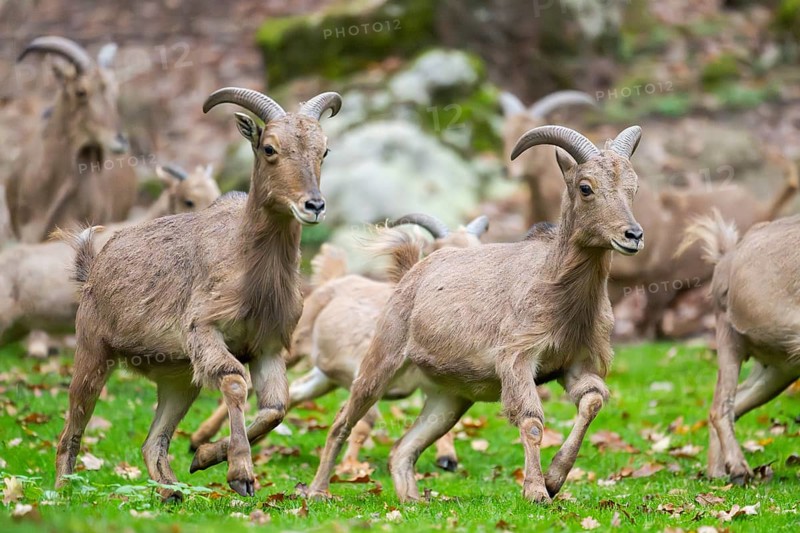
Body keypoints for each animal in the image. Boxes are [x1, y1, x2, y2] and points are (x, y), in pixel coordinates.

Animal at [54, 88, 342, 501]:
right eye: (269, 147)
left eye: (324, 150)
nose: (314, 205)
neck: (251, 271)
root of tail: (93, 265)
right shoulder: (205, 329)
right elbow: (235, 381)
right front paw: (240, 474)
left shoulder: (268, 346)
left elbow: (275, 408)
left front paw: (204, 456)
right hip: (93, 350)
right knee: (71, 429)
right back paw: (62, 492)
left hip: (177, 379)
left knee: (153, 441)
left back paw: (172, 491)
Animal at [189, 214, 490, 475]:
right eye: (441, 252)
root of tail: (331, 283)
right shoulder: (364, 371)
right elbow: (366, 420)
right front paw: (350, 466)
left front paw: (447, 458)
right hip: (291, 348)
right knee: (253, 383)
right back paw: (199, 438)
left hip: (325, 376)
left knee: (295, 392)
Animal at [307, 124, 644, 503]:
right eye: (586, 187)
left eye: (632, 187)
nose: (633, 235)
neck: (558, 293)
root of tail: (412, 271)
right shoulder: (517, 358)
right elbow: (532, 421)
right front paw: (536, 491)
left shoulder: (575, 363)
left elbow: (592, 402)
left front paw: (555, 479)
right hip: (382, 360)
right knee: (342, 421)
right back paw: (318, 491)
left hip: (449, 398)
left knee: (403, 447)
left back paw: (412, 501)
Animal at [681, 211, 800, 485]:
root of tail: (726, 256)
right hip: (729, 337)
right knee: (720, 407)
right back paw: (736, 469)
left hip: (780, 367)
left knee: (736, 404)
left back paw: (718, 471)